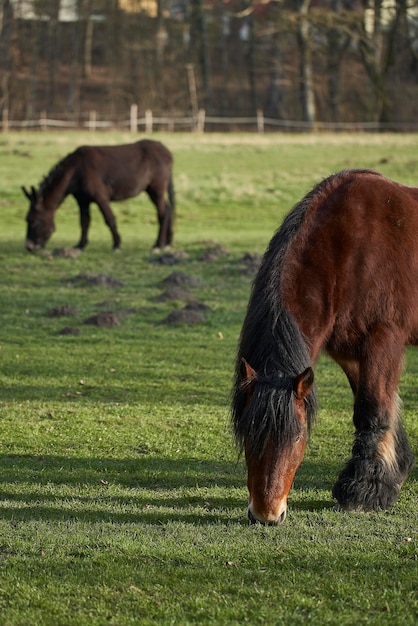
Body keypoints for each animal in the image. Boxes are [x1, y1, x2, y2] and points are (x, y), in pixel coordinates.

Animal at [22, 139, 176, 251]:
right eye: (28, 219)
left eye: (33, 220)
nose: (29, 247)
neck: (76, 170)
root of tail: (166, 151)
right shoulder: (82, 200)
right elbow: (84, 222)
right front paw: (81, 245)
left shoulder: (100, 197)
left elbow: (110, 219)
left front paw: (117, 245)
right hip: (152, 191)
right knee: (168, 209)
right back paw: (167, 242)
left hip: (156, 189)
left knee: (162, 213)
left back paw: (158, 244)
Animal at [233, 168, 416, 524]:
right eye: (248, 434)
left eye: (297, 436)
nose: (266, 515)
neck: (348, 250)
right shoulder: (350, 351)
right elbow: (383, 405)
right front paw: (391, 475)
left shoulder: (383, 339)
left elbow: (373, 409)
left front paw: (360, 491)